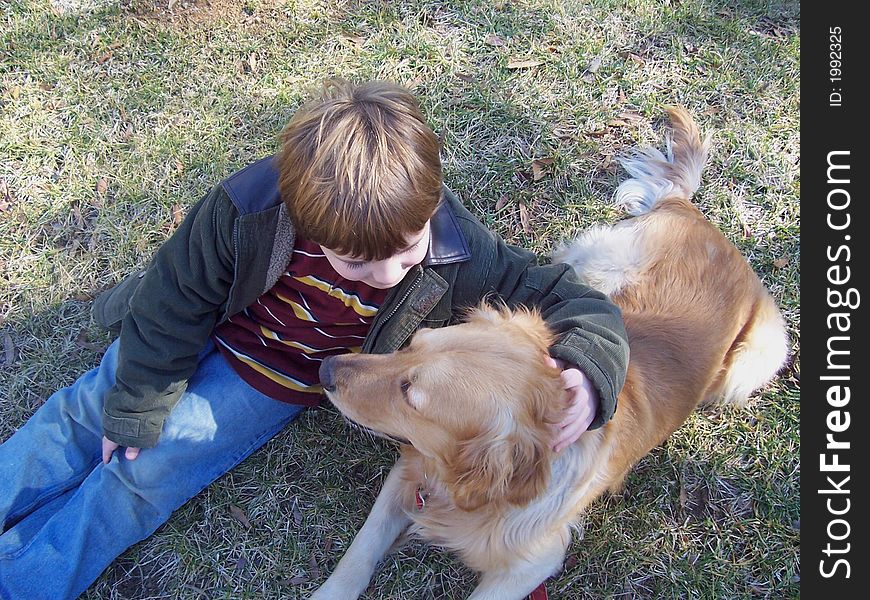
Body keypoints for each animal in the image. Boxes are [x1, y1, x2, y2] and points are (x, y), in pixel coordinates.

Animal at [306, 108, 792, 600]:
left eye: (410, 393)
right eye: (412, 344)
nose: (326, 370)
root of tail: (696, 214)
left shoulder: (533, 561)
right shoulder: (406, 476)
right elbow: (359, 553)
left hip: (752, 364)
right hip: (595, 264)